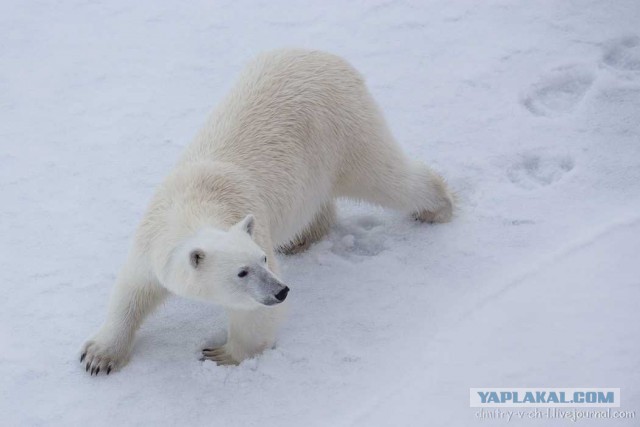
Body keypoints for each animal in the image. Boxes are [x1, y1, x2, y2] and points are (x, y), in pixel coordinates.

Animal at [80, 49, 452, 374]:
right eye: (242, 272)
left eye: (261, 259)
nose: (281, 290)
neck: (192, 205)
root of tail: (331, 59)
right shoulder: (151, 243)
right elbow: (131, 291)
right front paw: (98, 356)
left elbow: (255, 317)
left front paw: (221, 354)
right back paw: (301, 239)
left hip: (344, 128)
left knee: (384, 177)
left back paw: (437, 208)